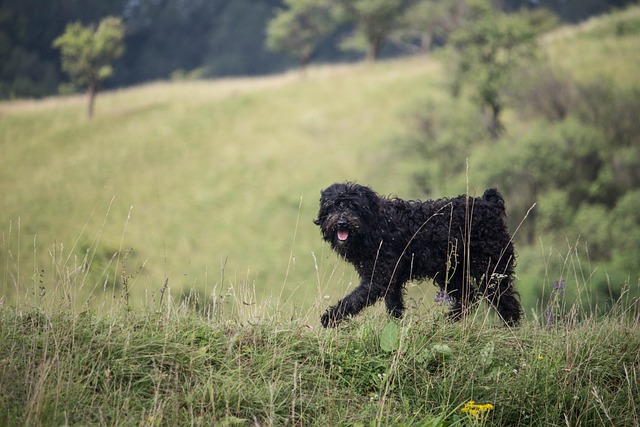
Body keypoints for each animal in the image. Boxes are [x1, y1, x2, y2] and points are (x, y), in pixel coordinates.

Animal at [316, 183, 520, 328]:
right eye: (333, 206)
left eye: (353, 206)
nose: (342, 223)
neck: (377, 225)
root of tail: (489, 204)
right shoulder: (391, 281)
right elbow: (394, 307)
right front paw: (395, 327)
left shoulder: (379, 278)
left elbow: (353, 300)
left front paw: (329, 317)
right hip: (451, 271)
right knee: (469, 297)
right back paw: (448, 319)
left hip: (491, 268)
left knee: (505, 300)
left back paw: (510, 327)